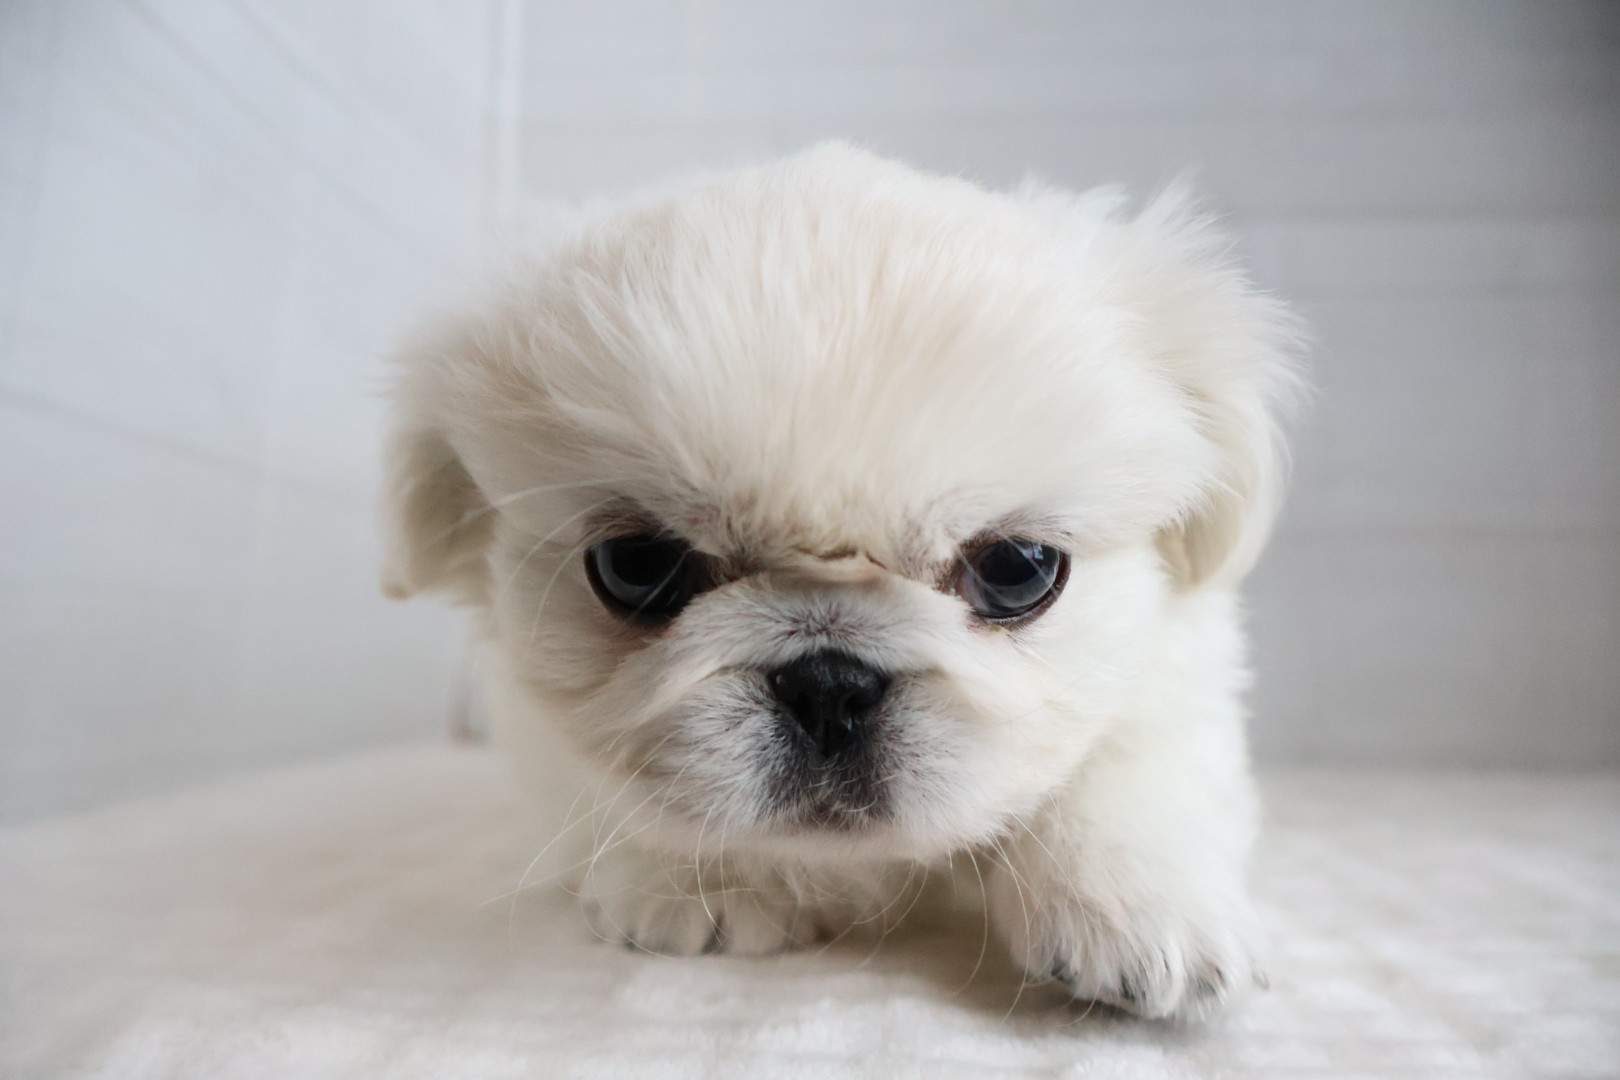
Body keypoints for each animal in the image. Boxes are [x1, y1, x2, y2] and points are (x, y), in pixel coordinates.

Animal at [381, 144, 1300, 1020]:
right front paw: (700, 888)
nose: (828, 683)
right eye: (637, 568)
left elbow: (1119, 772)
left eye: (1016, 571)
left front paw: (1140, 912)